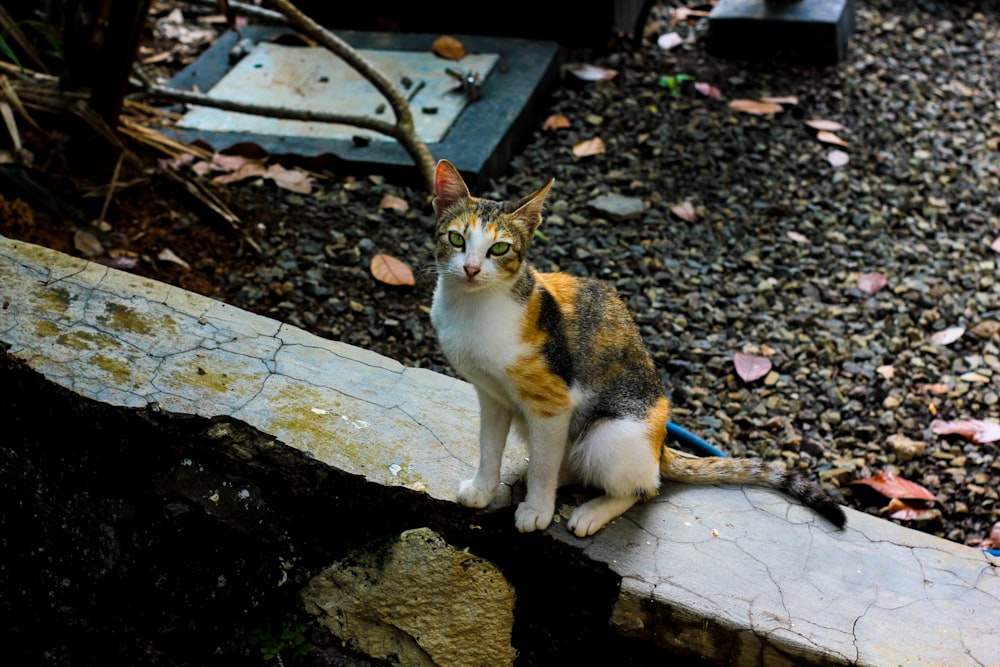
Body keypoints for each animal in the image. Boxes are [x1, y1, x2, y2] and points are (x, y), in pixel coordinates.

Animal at [426, 160, 848, 536]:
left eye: (499, 249)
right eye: (457, 239)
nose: (471, 269)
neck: (472, 308)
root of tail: (660, 447)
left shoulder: (551, 403)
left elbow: (545, 466)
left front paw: (537, 510)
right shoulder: (492, 395)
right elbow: (489, 447)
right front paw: (483, 489)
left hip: (611, 434)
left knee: (643, 487)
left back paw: (591, 511)